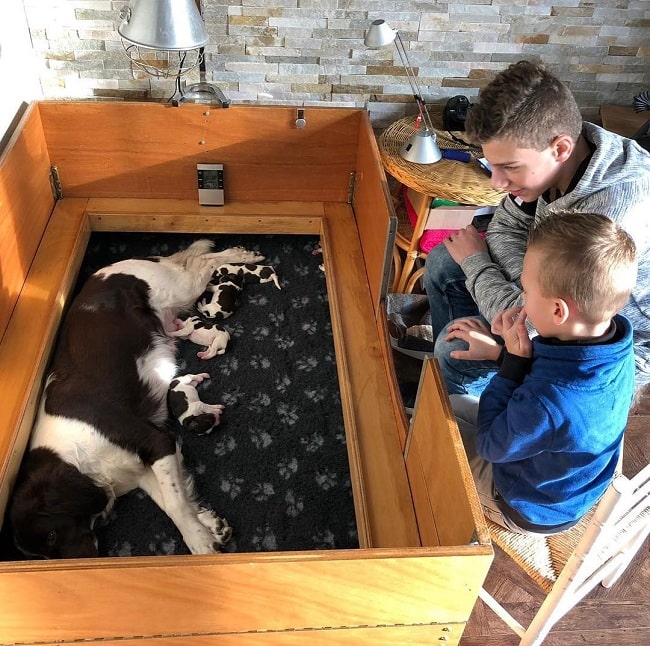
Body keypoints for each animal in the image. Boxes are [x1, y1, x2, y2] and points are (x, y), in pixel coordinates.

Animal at [8, 240, 260, 560]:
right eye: (41, 556)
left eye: (52, 535)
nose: (87, 565)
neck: (77, 456)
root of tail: (117, 266)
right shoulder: (138, 467)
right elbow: (171, 499)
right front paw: (209, 527)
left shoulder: (157, 441)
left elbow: (174, 503)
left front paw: (200, 543)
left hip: (181, 286)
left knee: (202, 261)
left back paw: (243, 254)